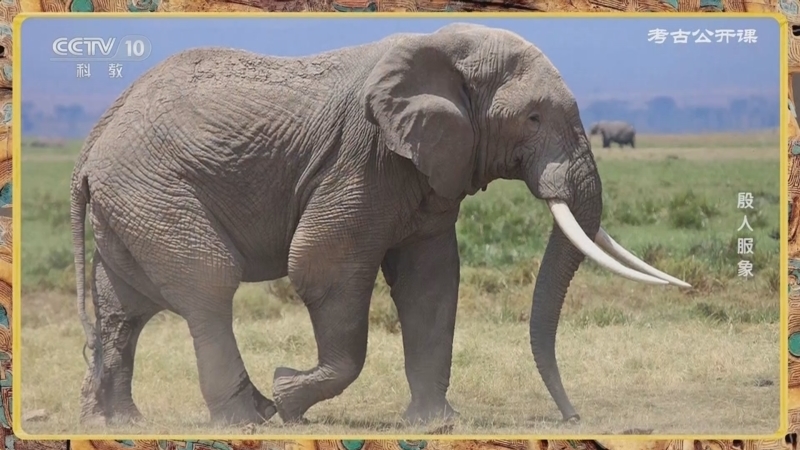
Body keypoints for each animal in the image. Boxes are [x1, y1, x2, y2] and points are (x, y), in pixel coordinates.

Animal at [70, 22, 690, 428]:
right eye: (533, 118)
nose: (572, 417)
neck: (444, 50)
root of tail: (91, 145)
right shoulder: (361, 157)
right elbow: (322, 266)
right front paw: (289, 395)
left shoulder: (430, 168)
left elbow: (432, 281)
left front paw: (436, 425)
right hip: (153, 188)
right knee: (207, 285)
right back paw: (252, 418)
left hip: (130, 203)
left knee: (125, 308)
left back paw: (118, 424)